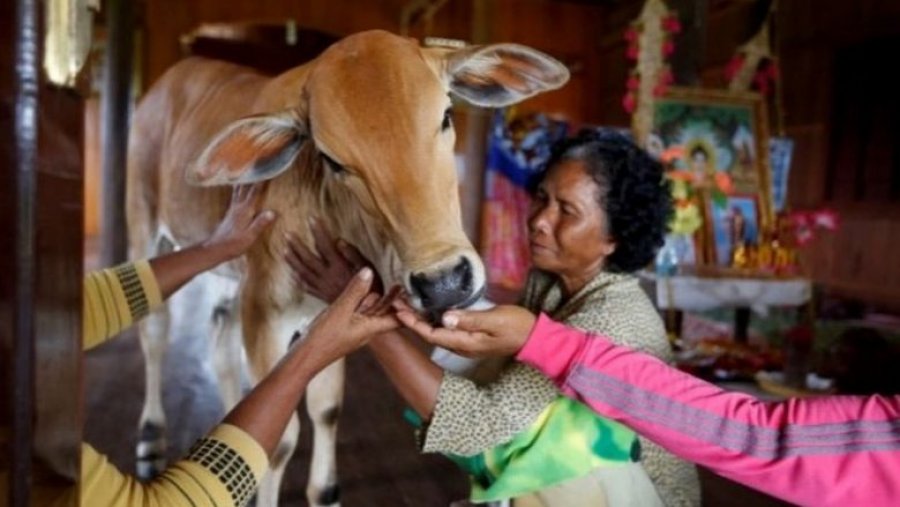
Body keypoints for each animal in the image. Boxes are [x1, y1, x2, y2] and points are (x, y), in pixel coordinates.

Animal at [126, 29, 568, 506]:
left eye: (447, 116)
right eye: (332, 160)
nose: (444, 282)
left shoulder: (326, 311)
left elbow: (326, 409)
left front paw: (324, 488)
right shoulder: (265, 310)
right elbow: (276, 440)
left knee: (219, 341)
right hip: (145, 223)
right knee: (154, 329)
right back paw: (149, 438)